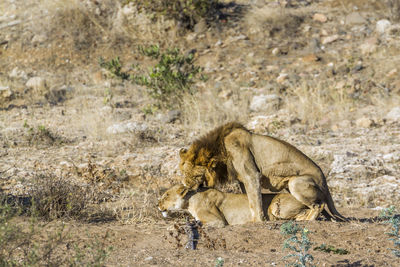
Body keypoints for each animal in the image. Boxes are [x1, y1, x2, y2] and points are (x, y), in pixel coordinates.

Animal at [180, 122, 346, 223]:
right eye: (183, 172)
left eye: (195, 176)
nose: (185, 186)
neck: (220, 150)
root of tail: (324, 179)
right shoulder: (242, 179)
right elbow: (249, 199)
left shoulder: (251, 174)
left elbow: (255, 200)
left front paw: (258, 221)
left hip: (296, 182)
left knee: (319, 205)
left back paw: (306, 220)